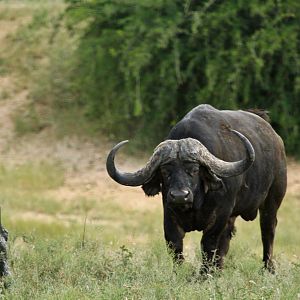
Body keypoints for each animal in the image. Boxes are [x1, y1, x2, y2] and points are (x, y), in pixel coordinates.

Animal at [105, 104, 286, 274]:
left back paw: (268, 269)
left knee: (268, 231)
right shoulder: (169, 214)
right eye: (165, 172)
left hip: (272, 200)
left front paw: (204, 274)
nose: (180, 196)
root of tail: (276, 140)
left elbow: (209, 244)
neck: (195, 204)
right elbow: (174, 244)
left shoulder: (220, 214)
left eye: (194, 170)